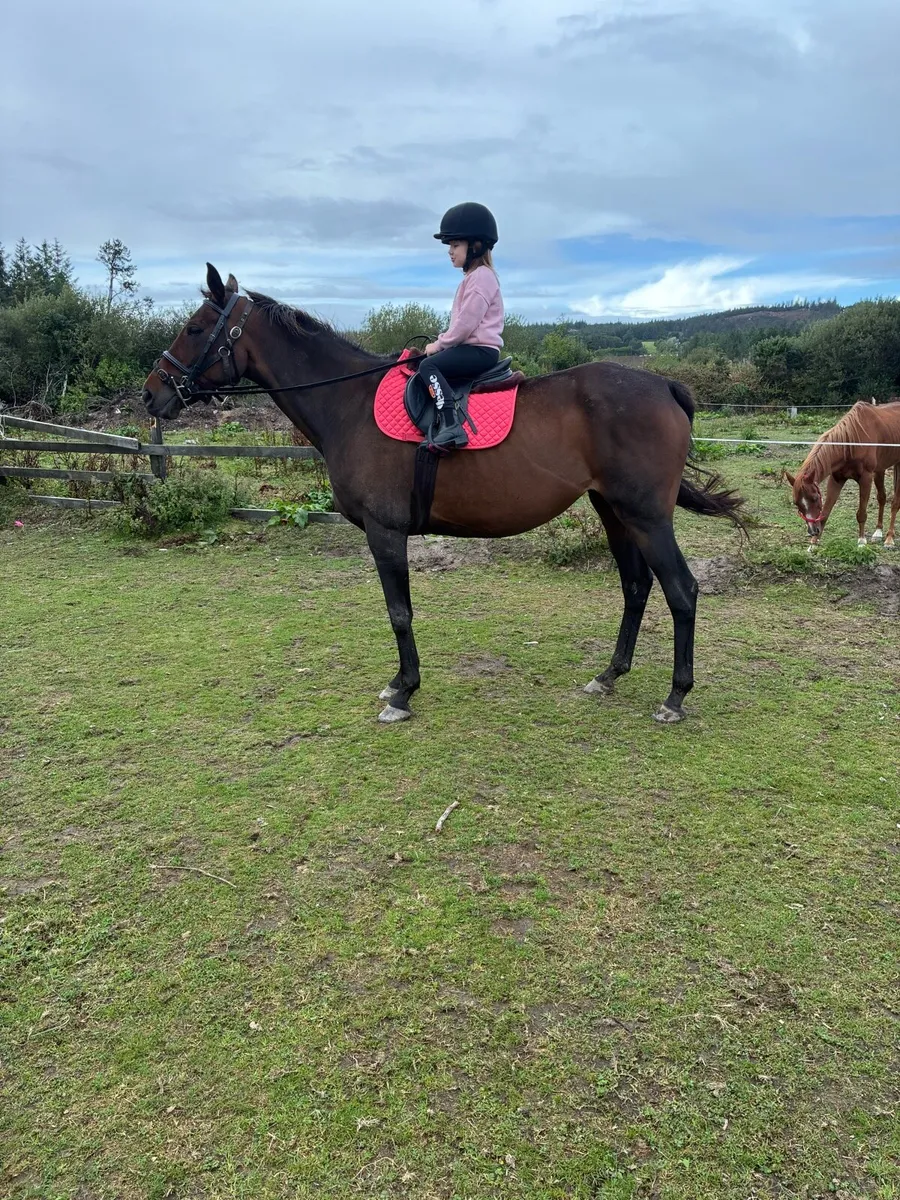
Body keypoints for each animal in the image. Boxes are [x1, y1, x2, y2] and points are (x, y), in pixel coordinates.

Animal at [141, 264, 745, 725]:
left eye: (195, 328)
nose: (151, 395)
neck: (350, 404)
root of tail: (664, 385)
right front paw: (398, 684)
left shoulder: (385, 531)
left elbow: (398, 612)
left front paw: (404, 692)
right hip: (613, 510)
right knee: (636, 587)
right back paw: (609, 675)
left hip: (646, 516)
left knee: (682, 590)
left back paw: (675, 697)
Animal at [785, 401, 900, 548]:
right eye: (796, 502)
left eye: (815, 498)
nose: (812, 531)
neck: (851, 443)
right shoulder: (836, 479)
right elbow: (825, 512)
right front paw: (814, 543)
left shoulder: (866, 478)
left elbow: (861, 513)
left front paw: (861, 541)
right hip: (880, 469)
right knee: (882, 497)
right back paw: (878, 532)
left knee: (895, 502)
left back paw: (889, 538)